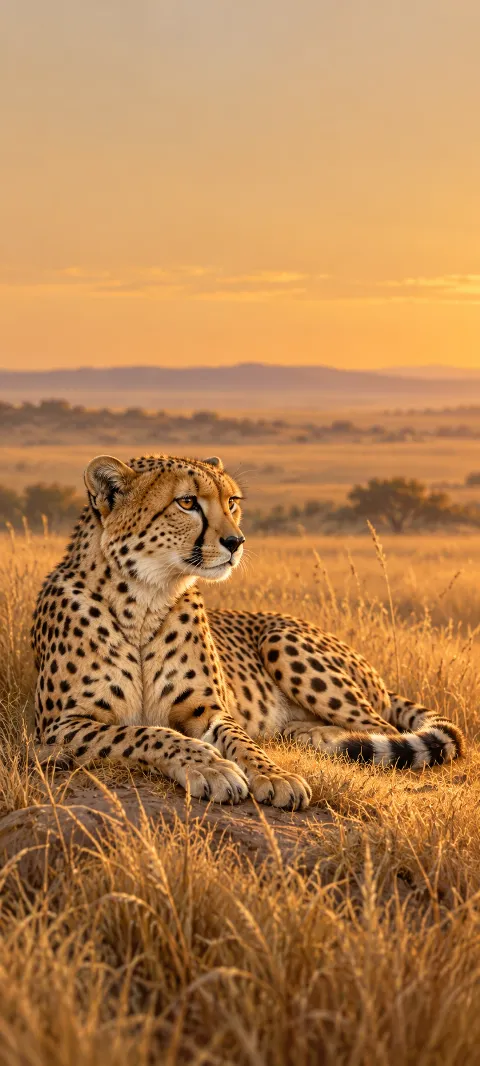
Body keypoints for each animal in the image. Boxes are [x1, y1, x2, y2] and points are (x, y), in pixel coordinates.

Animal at [31, 452, 464, 810]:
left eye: (232, 503)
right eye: (187, 502)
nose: (235, 541)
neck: (144, 599)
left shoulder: (206, 709)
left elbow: (240, 740)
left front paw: (274, 775)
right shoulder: (56, 730)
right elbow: (147, 733)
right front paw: (210, 767)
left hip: (281, 638)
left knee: (382, 730)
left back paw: (323, 739)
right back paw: (308, 735)